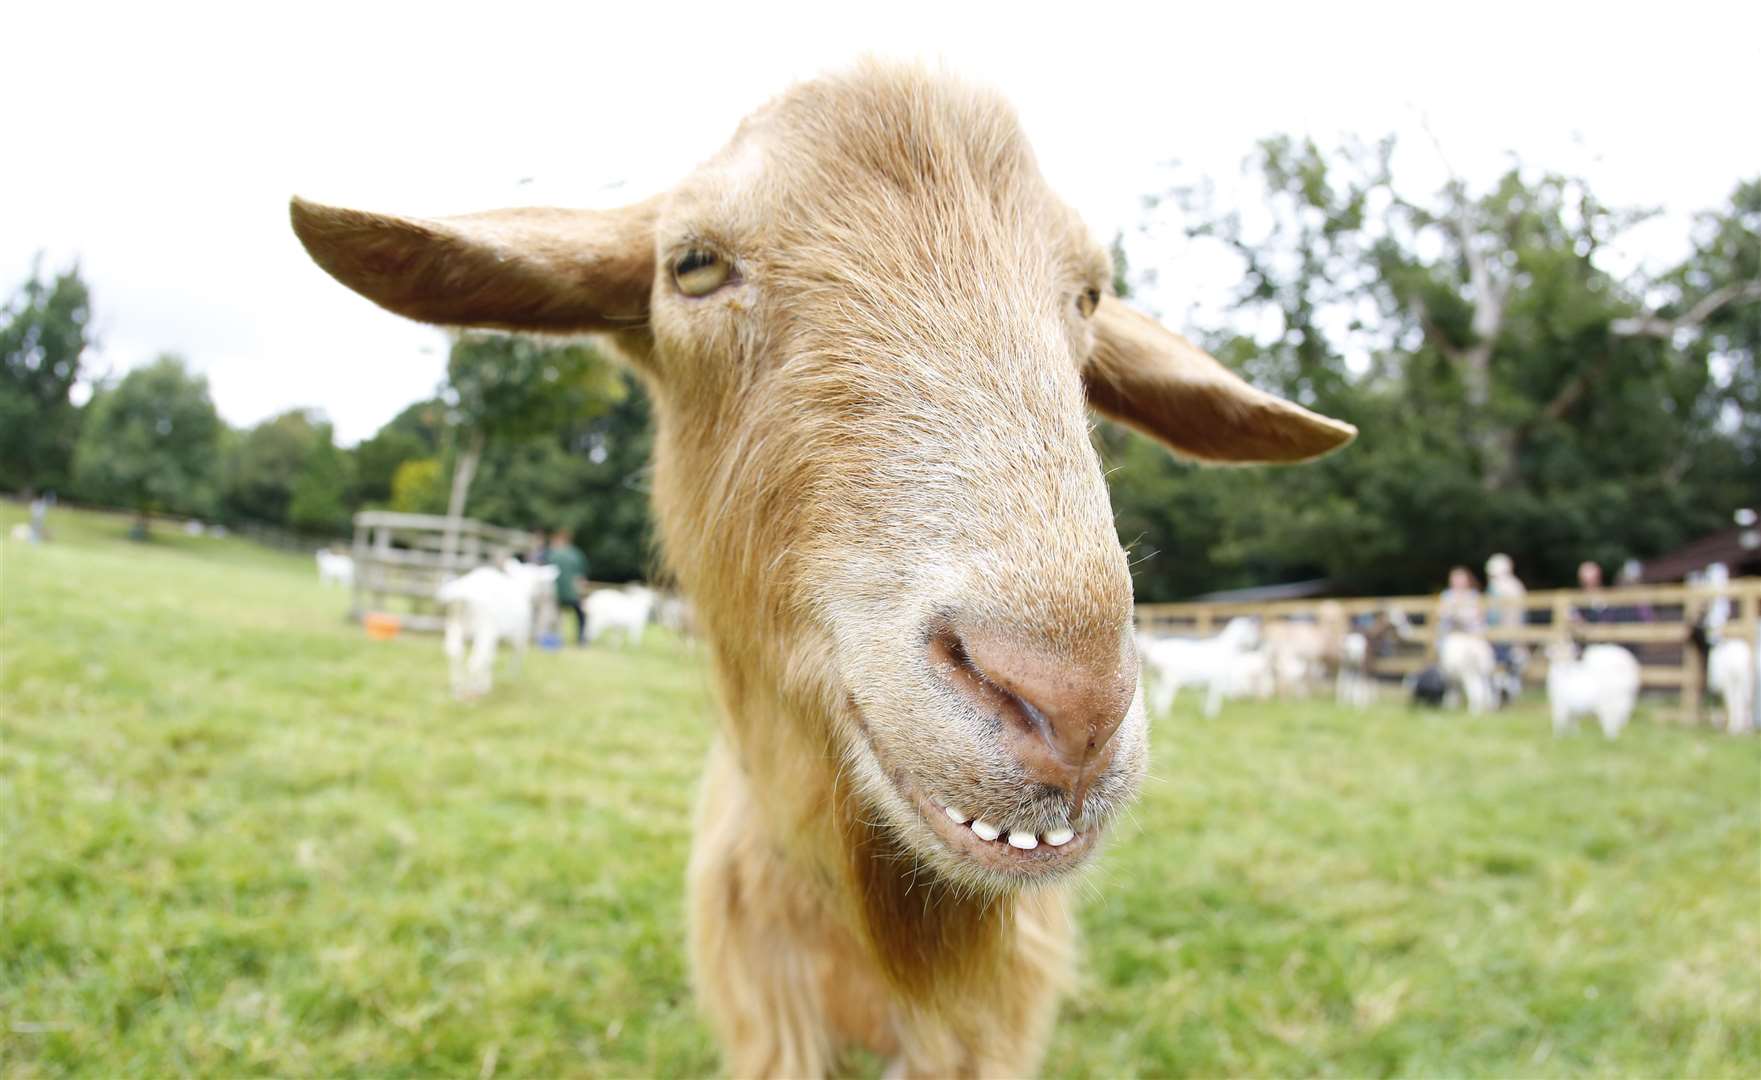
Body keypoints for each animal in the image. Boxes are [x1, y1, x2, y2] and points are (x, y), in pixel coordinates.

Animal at [434, 556, 556, 697]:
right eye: (539, 582)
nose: (545, 595)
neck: (521, 587)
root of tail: (464, 591)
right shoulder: (519, 634)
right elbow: (515, 655)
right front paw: (509, 678)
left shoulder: (494, 636)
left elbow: (490, 657)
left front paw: (485, 684)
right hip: (485, 628)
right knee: (476, 659)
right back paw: (470, 692)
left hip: (455, 624)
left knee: (455, 652)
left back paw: (457, 688)